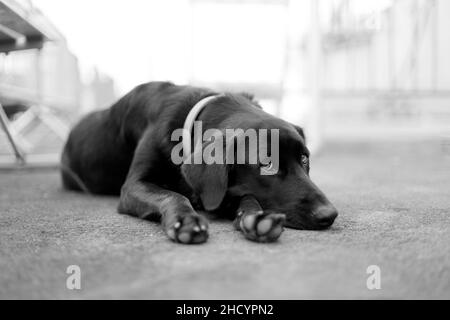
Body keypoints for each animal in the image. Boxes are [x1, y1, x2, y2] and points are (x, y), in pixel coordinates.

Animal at [62, 81, 338, 244]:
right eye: (266, 165)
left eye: (304, 158)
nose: (330, 214)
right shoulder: (134, 186)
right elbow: (172, 195)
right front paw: (186, 221)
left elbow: (248, 197)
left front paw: (256, 217)